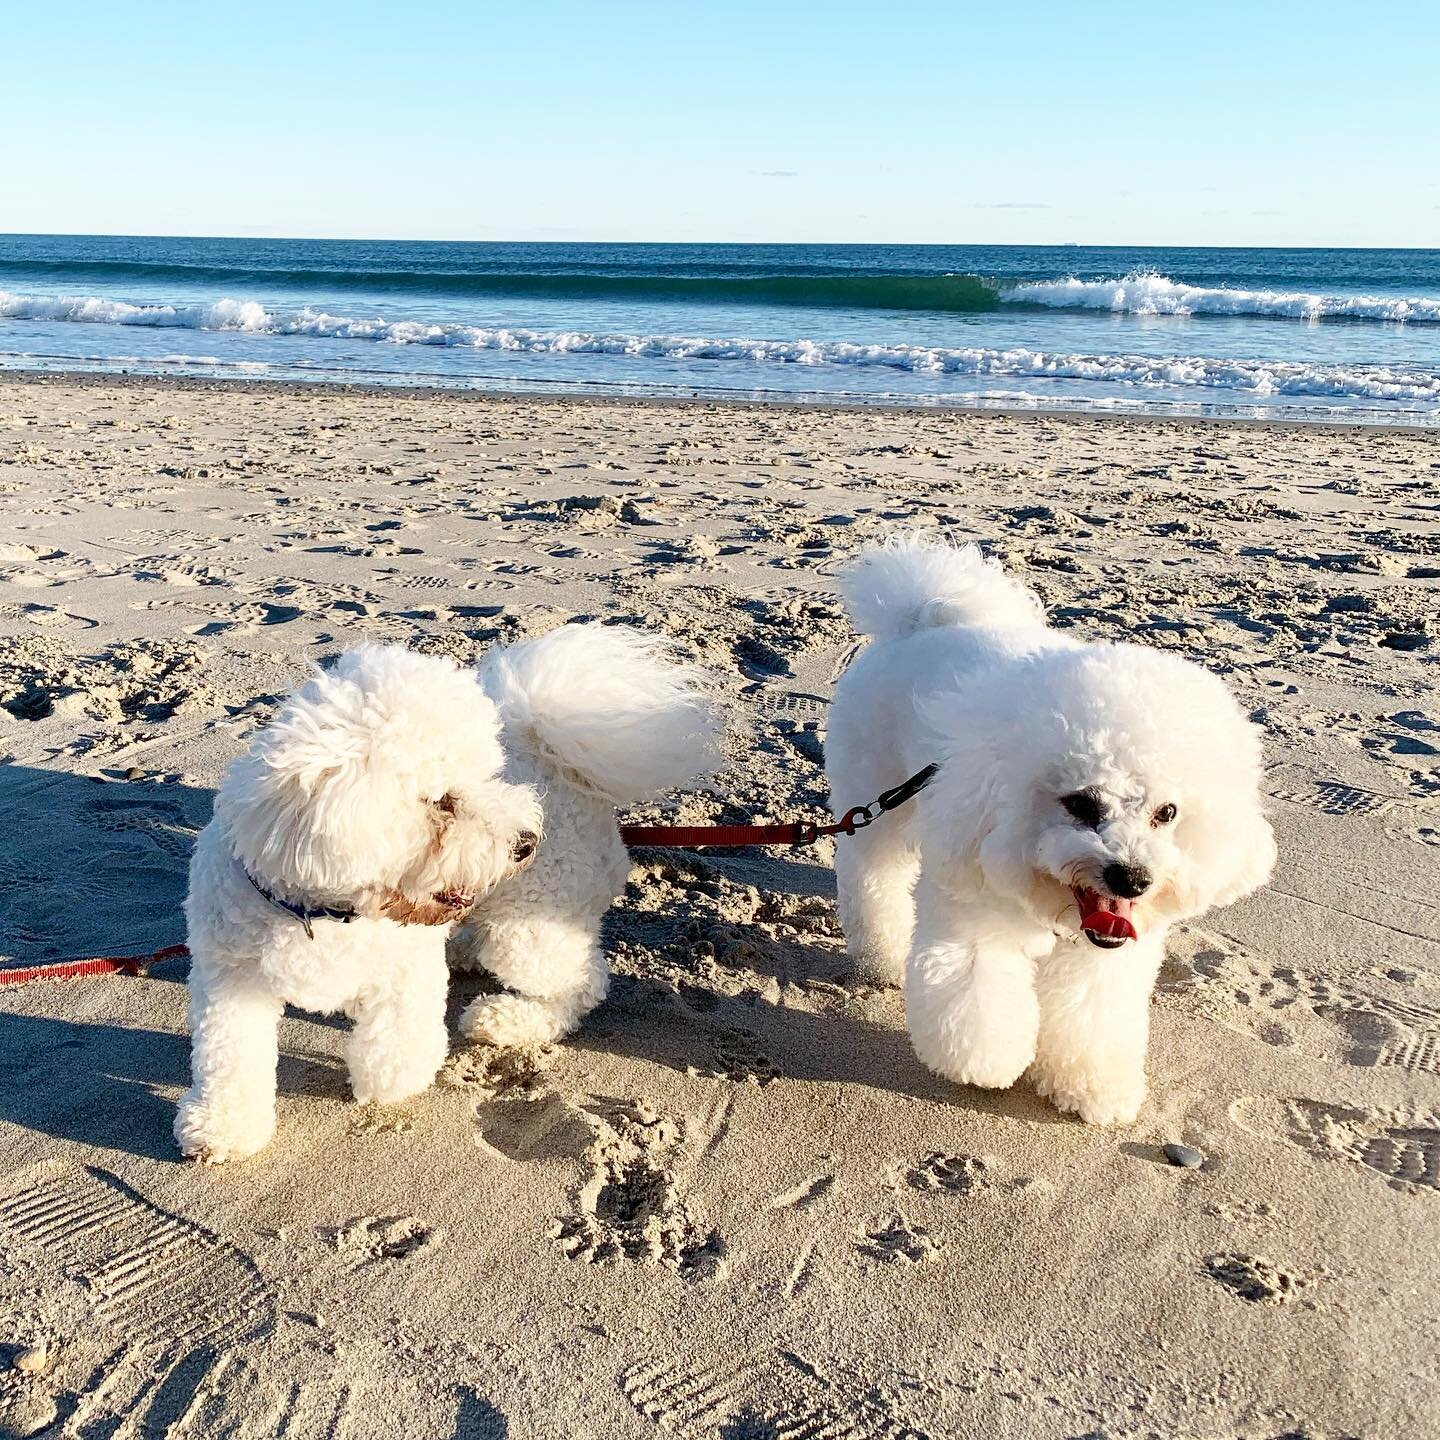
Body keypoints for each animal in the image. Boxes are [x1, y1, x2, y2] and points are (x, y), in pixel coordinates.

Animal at [174, 648, 541, 1163]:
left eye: (488, 777)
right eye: (442, 801)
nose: (525, 843)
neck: (322, 914)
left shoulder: (407, 965)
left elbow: (399, 1030)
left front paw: (392, 1080)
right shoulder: (231, 978)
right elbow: (229, 1054)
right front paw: (223, 1126)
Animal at [829, 529, 1278, 1123]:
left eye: (1168, 813)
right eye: (1081, 805)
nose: (1132, 879)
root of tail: (919, 617)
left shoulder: (1105, 957)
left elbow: (1091, 1013)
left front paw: (1091, 1087)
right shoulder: (972, 898)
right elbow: (975, 990)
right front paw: (985, 1062)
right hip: (875, 794)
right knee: (871, 875)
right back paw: (880, 957)